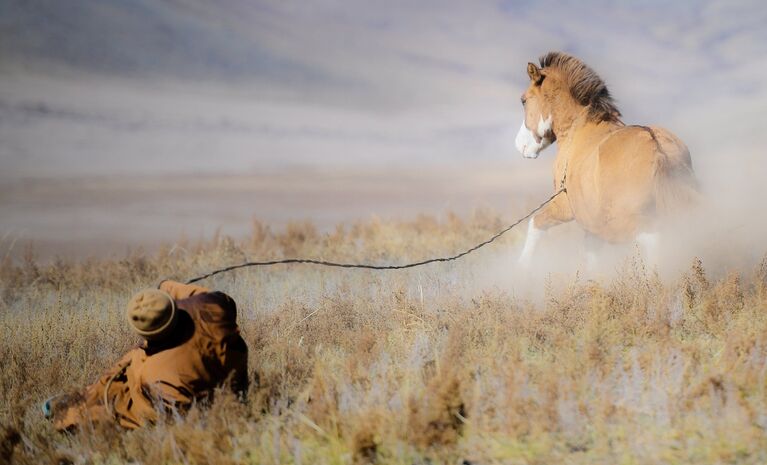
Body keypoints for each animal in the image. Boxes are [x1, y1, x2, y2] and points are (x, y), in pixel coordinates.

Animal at [512, 51, 700, 264]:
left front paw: (522, 267)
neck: (576, 130)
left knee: (653, 240)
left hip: (628, 222)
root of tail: (657, 146)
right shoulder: (590, 226)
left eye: (523, 100)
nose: (519, 145)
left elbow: (535, 223)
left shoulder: (563, 206)